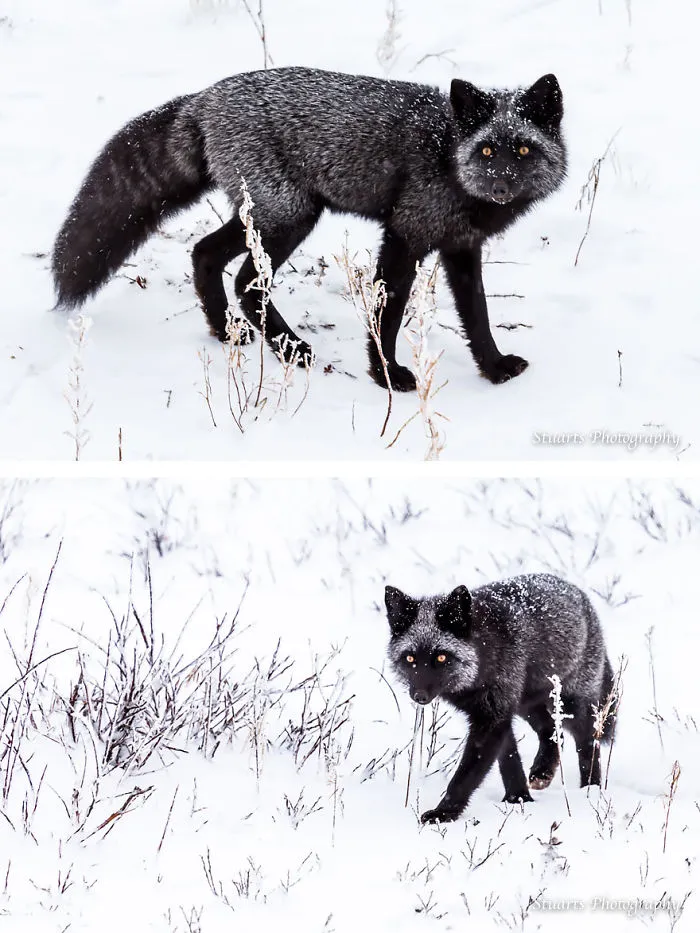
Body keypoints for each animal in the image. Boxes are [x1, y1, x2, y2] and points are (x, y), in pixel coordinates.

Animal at [52, 67, 567, 391]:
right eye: (487, 151)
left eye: (523, 150)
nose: (500, 185)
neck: (447, 152)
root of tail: (204, 98)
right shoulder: (405, 235)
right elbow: (388, 315)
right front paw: (387, 375)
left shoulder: (462, 248)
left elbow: (477, 316)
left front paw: (494, 369)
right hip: (290, 218)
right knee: (247, 282)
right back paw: (293, 350)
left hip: (265, 217)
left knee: (204, 254)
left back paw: (226, 333)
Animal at [384, 573, 617, 824]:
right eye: (410, 658)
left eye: (441, 657)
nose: (419, 696)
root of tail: (579, 594)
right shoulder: (497, 713)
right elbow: (509, 758)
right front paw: (518, 799)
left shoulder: (492, 718)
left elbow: (465, 776)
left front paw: (443, 813)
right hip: (526, 704)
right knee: (553, 730)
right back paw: (543, 771)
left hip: (570, 703)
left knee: (588, 741)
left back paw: (590, 790)